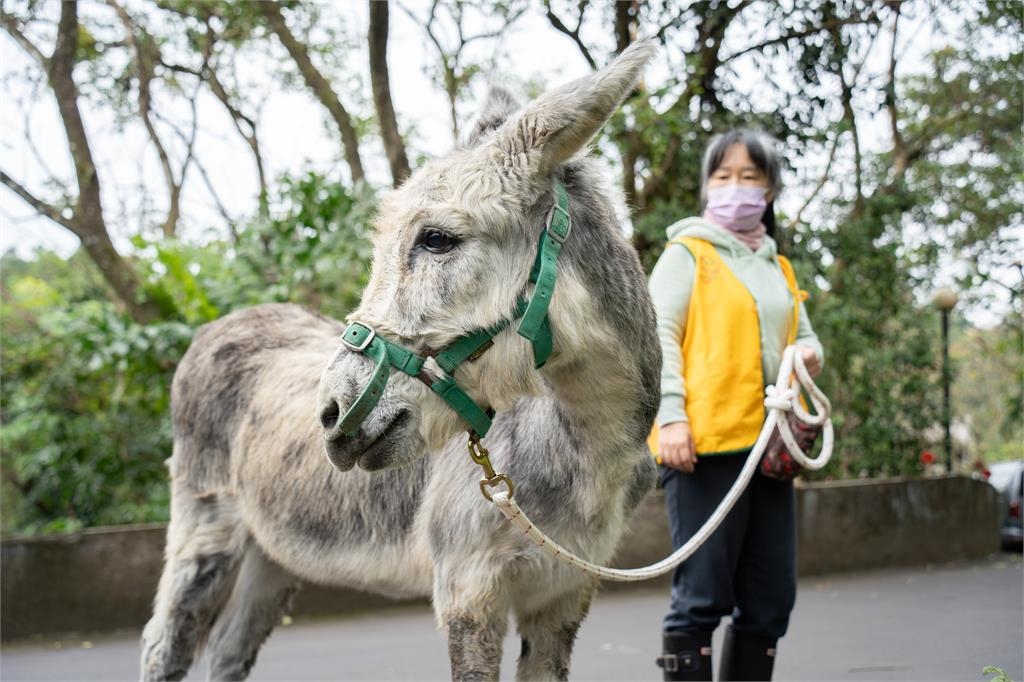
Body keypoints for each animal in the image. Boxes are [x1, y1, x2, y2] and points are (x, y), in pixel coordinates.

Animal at [141, 40, 661, 681]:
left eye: (436, 239)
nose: (332, 413)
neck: (587, 451)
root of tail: (223, 323)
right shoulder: (469, 589)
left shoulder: (565, 593)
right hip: (205, 524)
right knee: (165, 643)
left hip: (274, 551)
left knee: (227, 650)